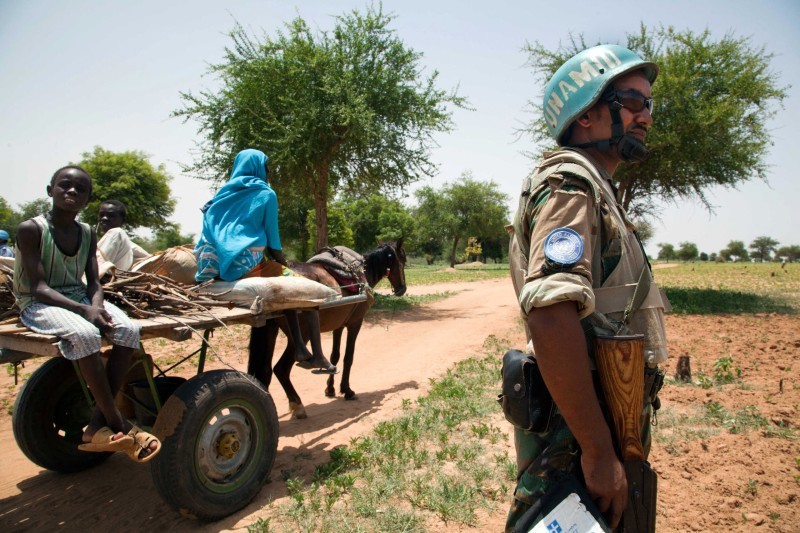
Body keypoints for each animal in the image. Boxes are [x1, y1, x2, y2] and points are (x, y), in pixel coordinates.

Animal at [247, 239, 406, 418]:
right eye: (403, 260)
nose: (402, 289)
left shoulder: (339, 325)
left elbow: (335, 355)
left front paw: (330, 389)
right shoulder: (355, 323)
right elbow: (348, 357)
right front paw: (347, 390)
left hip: (270, 331)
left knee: (264, 373)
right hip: (301, 336)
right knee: (280, 369)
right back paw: (297, 405)